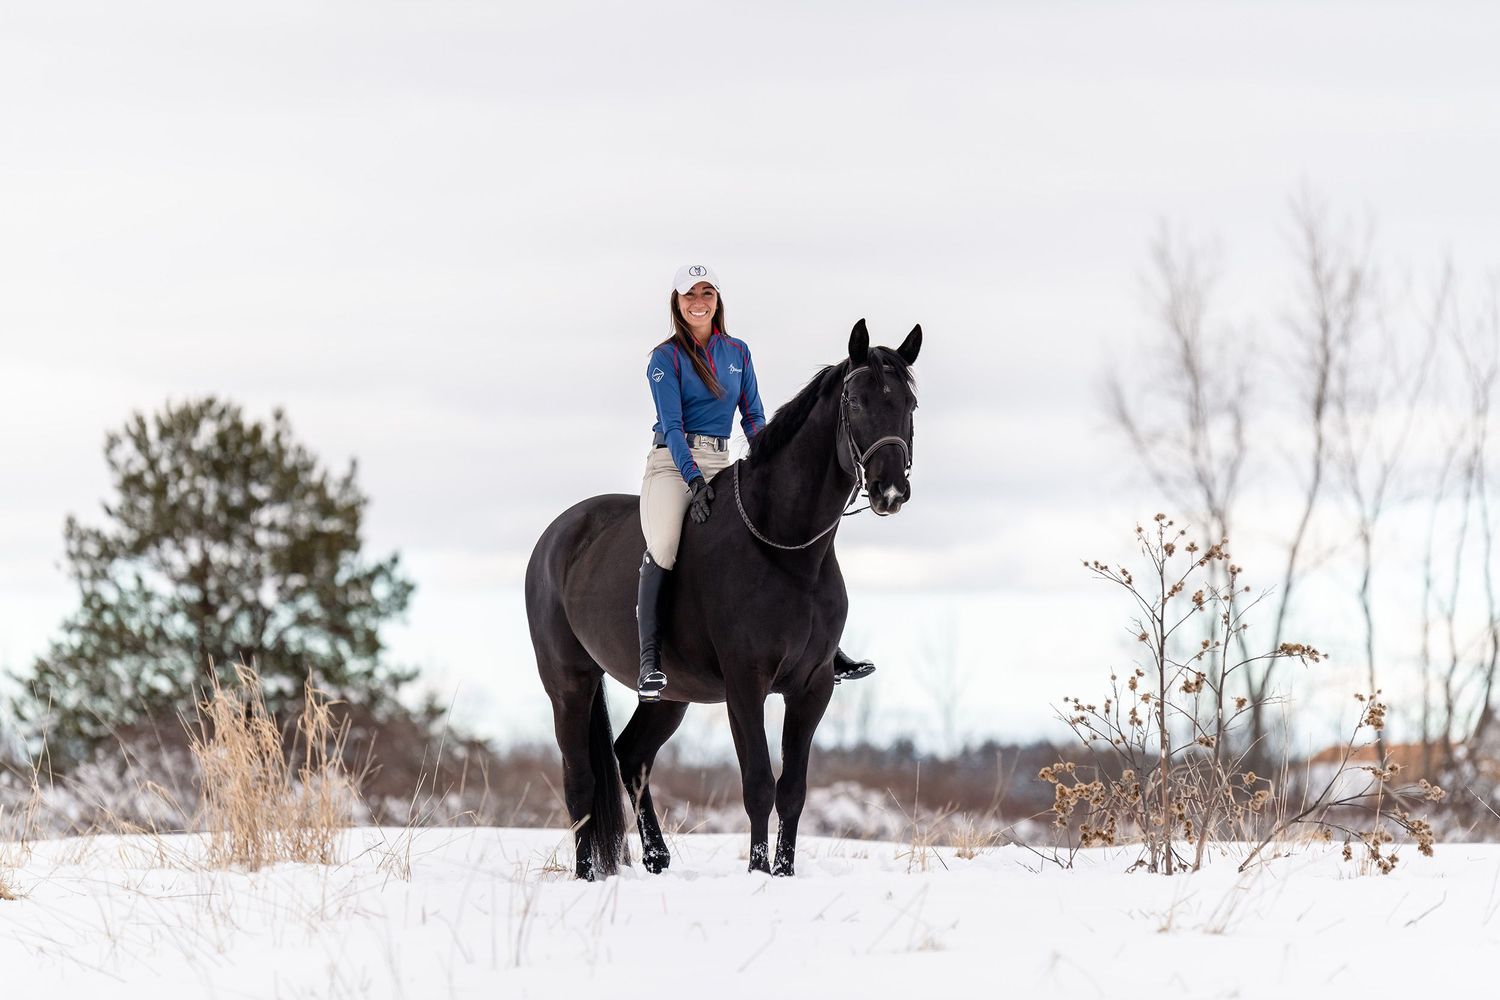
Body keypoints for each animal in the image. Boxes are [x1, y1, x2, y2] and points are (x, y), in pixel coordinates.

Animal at [525, 319, 921, 879]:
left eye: (909, 403)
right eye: (857, 401)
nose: (890, 490)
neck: (787, 552)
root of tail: (558, 534)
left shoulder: (813, 687)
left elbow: (793, 790)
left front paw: (784, 874)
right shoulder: (745, 683)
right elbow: (757, 784)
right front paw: (758, 873)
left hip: (672, 695)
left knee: (632, 755)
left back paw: (656, 858)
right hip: (568, 684)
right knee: (580, 780)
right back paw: (587, 874)